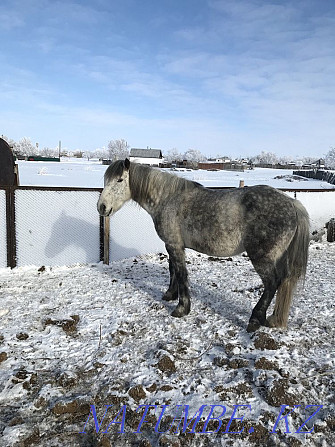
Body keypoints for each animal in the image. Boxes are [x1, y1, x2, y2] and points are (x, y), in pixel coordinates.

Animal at [98, 160, 312, 332]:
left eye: (119, 180)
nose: (101, 207)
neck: (168, 199)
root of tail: (292, 203)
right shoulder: (173, 245)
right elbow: (173, 269)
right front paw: (170, 295)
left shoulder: (174, 245)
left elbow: (181, 273)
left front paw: (181, 308)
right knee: (283, 281)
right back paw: (274, 318)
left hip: (261, 257)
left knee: (271, 283)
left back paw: (254, 320)